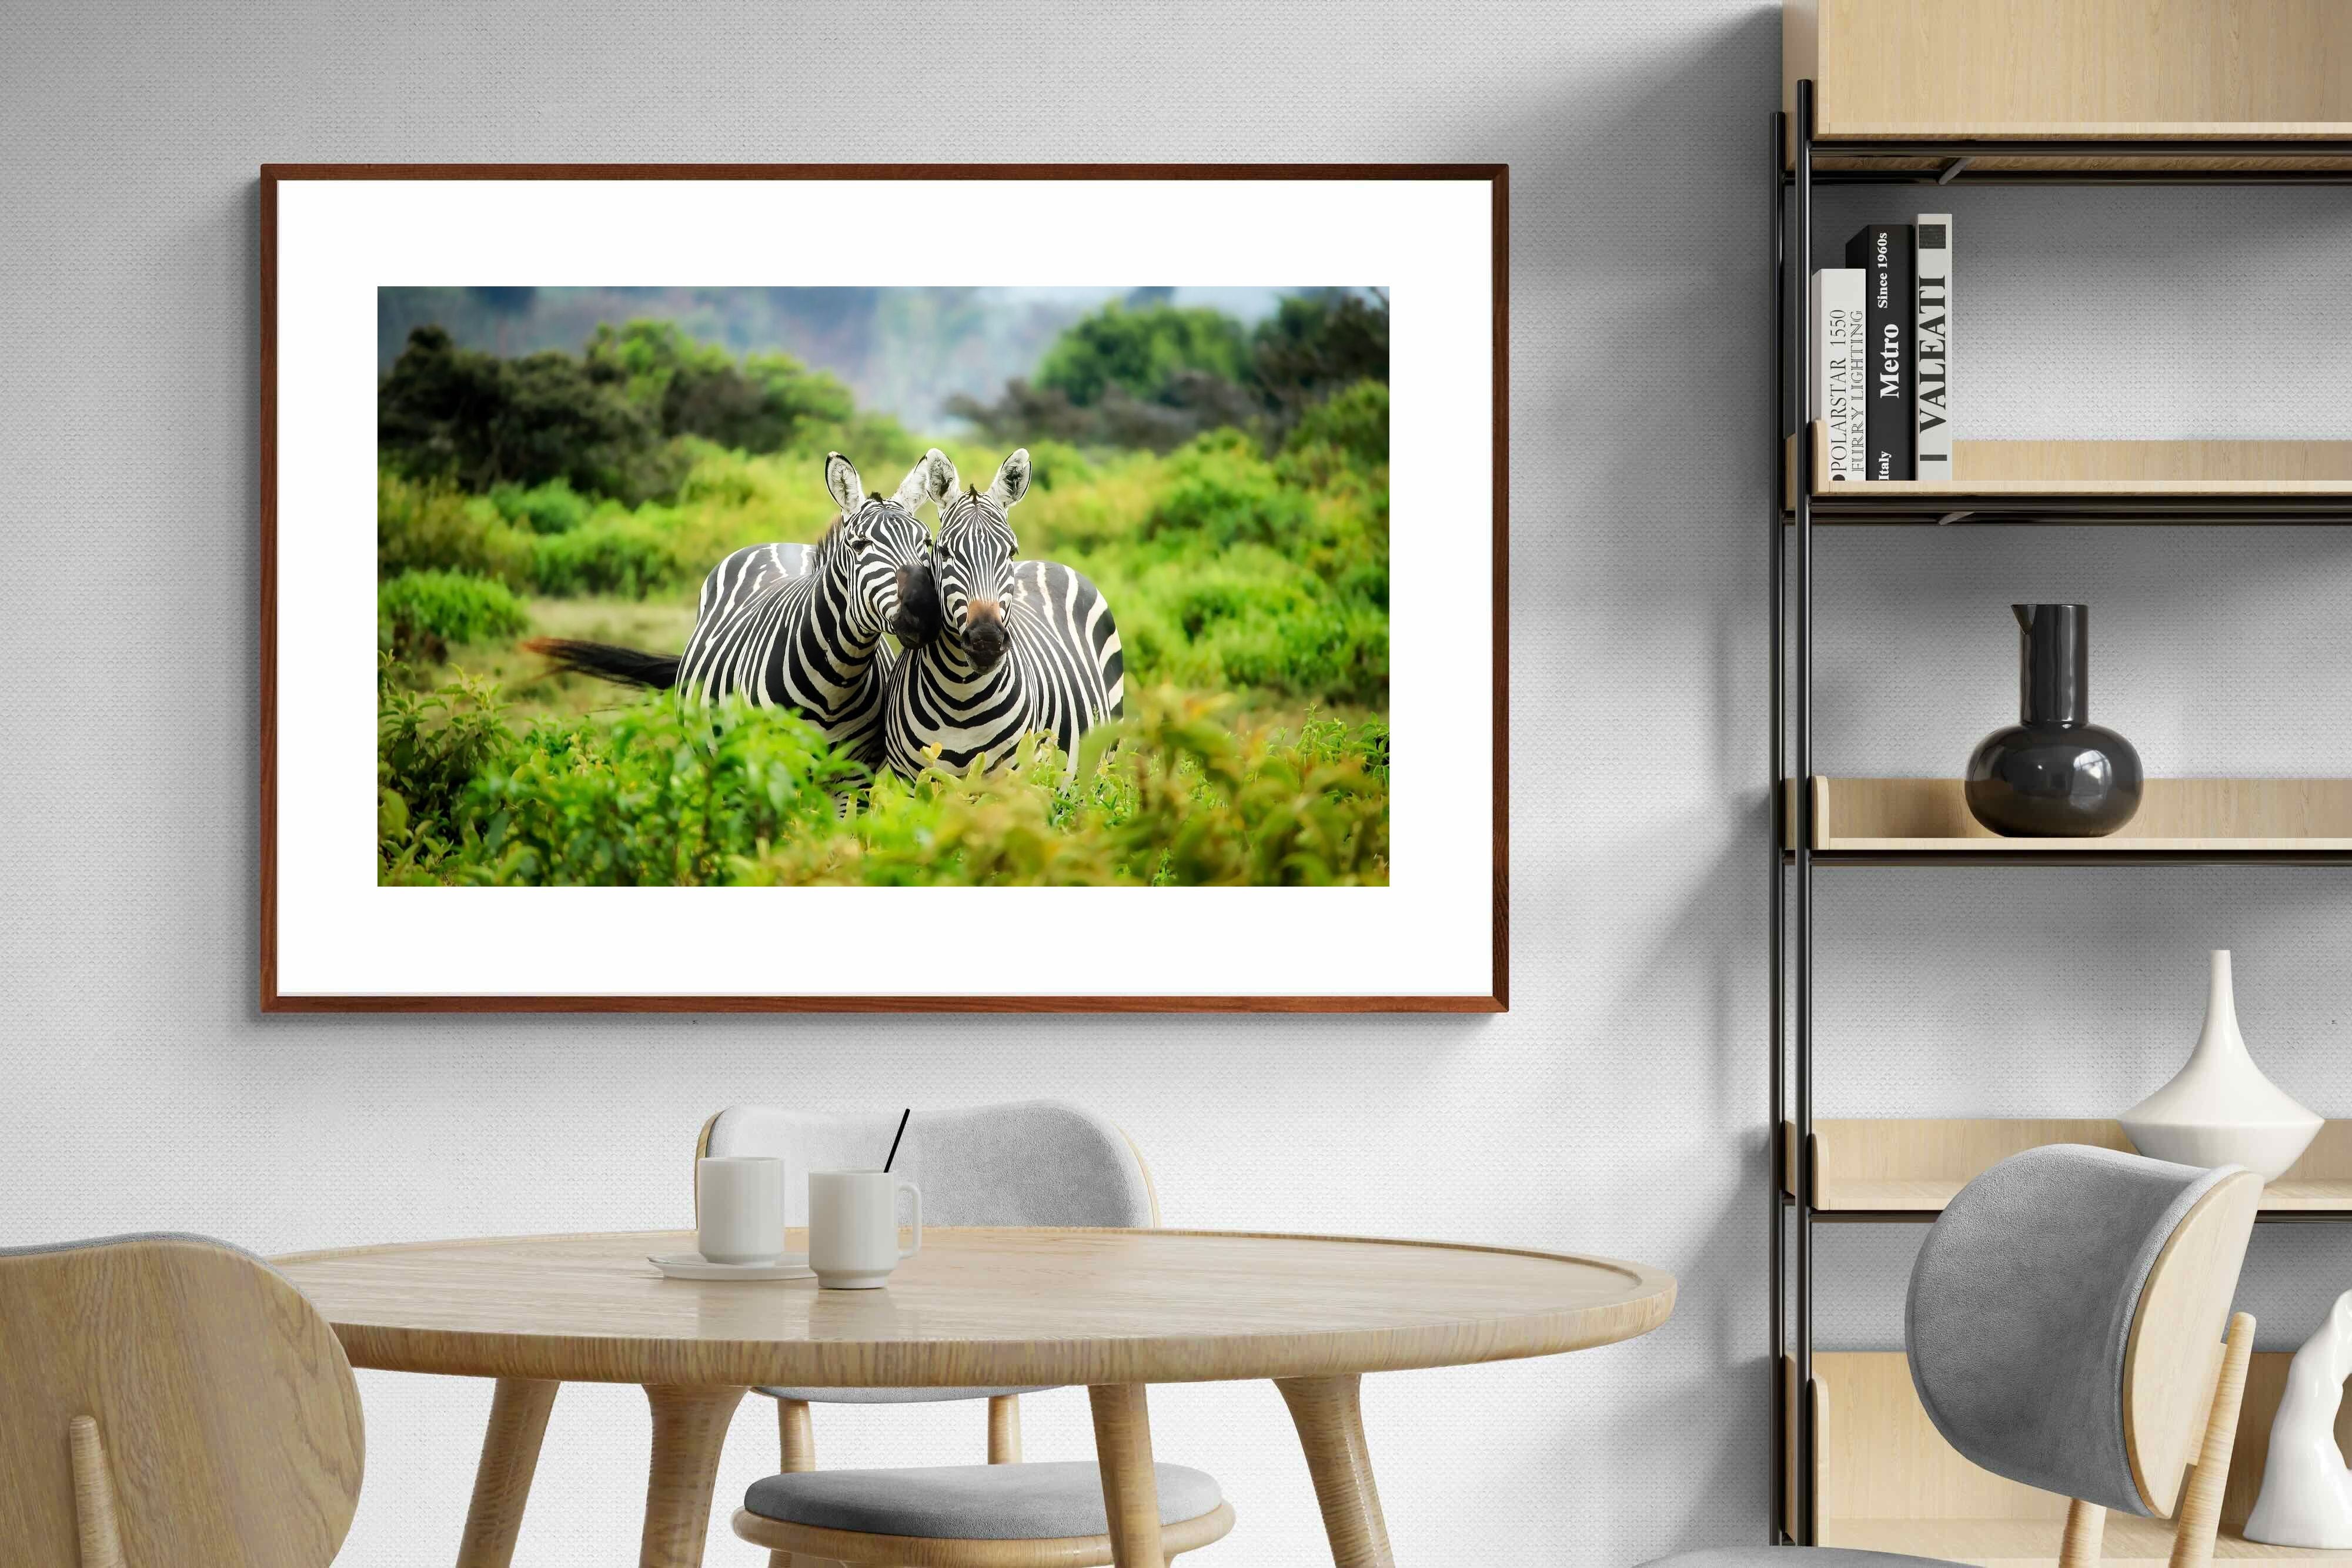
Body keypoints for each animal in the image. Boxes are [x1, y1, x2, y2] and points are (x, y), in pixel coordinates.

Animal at [527, 450, 945, 770]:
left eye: (926, 542)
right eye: (860, 546)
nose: (925, 612)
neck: (837, 680)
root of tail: (779, 544)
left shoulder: (853, 776)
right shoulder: (768, 765)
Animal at [880, 448, 1125, 779]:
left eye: (1011, 552)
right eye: (944, 552)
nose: (986, 641)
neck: (961, 699)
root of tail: (1048, 562)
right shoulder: (914, 781)